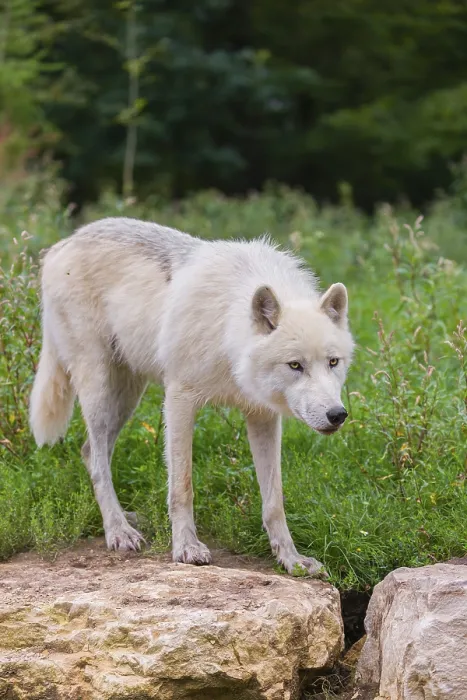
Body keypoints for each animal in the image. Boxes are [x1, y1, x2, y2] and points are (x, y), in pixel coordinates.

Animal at [29, 217, 354, 577]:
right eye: (295, 365)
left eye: (333, 362)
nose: (337, 414)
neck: (227, 336)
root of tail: (62, 245)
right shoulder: (179, 400)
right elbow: (182, 486)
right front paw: (185, 547)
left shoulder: (263, 416)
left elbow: (274, 500)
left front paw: (291, 559)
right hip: (99, 388)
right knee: (98, 461)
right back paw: (118, 530)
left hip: (126, 397)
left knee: (89, 452)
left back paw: (126, 517)